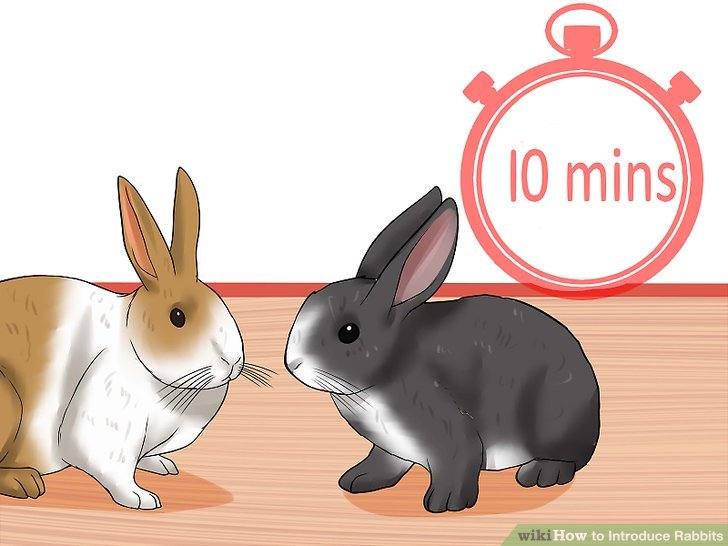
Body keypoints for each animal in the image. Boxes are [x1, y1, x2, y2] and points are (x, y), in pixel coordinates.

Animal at [0, 168, 246, 509]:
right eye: (177, 316)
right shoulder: (107, 423)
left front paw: (163, 466)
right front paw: (141, 498)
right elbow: (111, 468)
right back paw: (25, 482)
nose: (233, 361)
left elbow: (146, 458)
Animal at [284, 187, 600, 513]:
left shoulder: (445, 426)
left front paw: (445, 503)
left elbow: (460, 460)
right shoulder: (389, 446)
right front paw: (358, 479)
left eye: (348, 332)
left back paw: (541, 473)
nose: (292, 363)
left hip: (552, 418)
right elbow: (384, 462)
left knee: (569, 457)